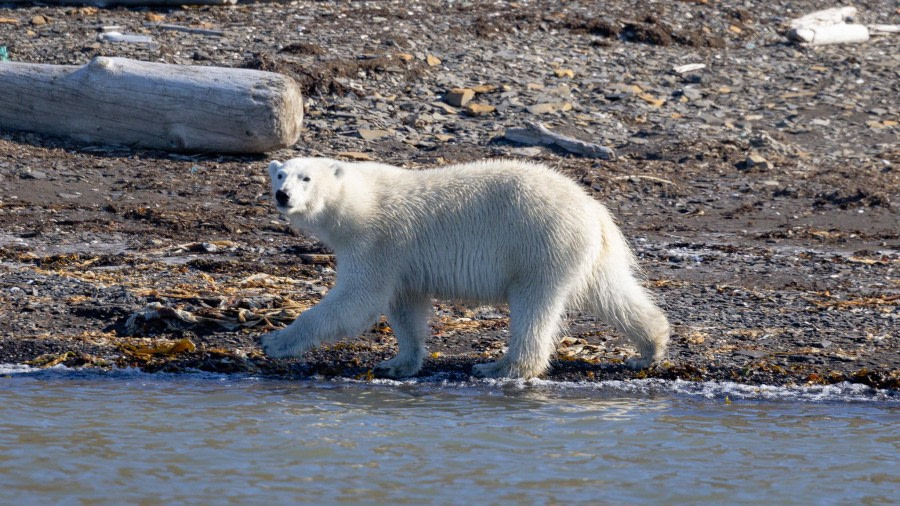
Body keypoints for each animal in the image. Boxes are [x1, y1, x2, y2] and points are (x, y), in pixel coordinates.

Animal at [260, 156, 668, 378]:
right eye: (280, 175)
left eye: (306, 177)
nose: (283, 195)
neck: (357, 201)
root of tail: (594, 209)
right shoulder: (402, 259)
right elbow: (404, 307)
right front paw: (398, 363)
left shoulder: (377, 239)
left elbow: (356, 299)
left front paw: (274, 341)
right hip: (586, 253)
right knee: (612, 293)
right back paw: (649, 347)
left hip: (539, 244)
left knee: (534, 306)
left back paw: (501, 367)